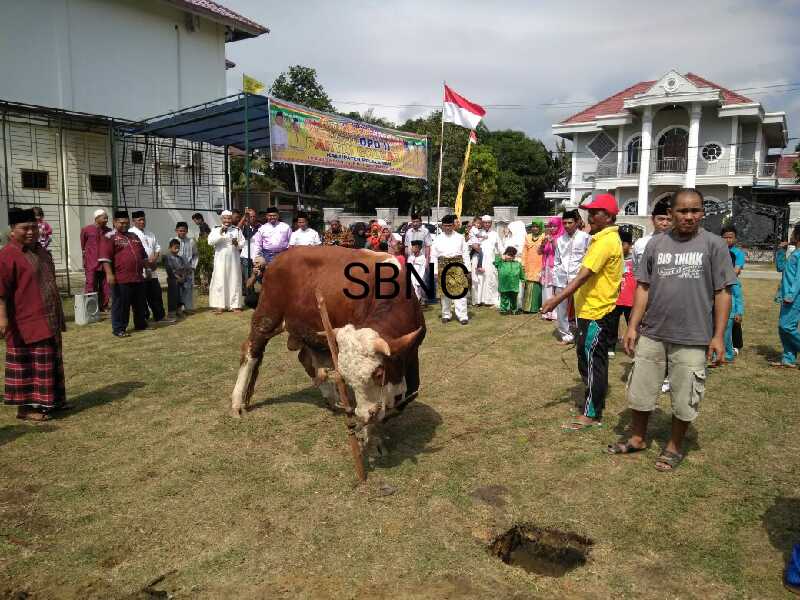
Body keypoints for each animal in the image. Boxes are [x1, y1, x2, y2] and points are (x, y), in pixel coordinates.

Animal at [231, 246, 424, 448]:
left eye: (379, 373)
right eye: (348, 379)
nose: (363, 415)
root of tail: (281, 257)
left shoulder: (412, 352)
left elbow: (408, 393)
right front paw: (371, 437)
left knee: (305, 360)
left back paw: (331, 396)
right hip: (266, 318)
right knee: (250, 352)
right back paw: (236, 403)